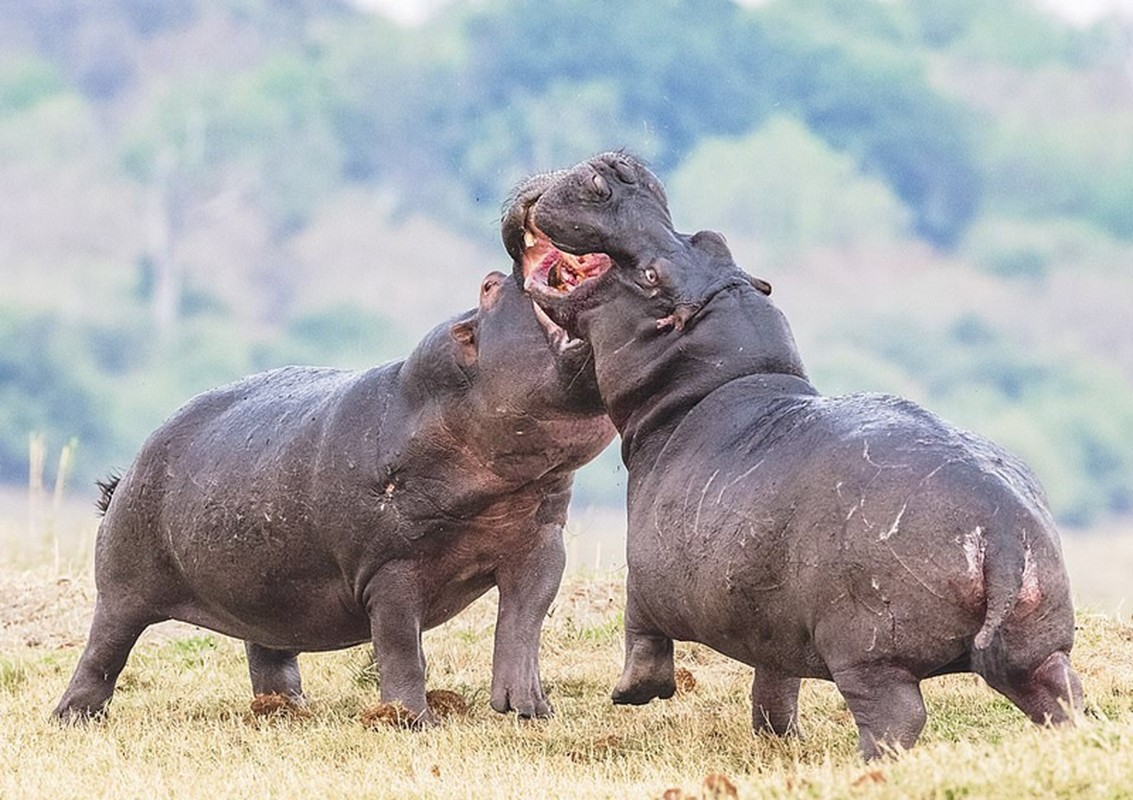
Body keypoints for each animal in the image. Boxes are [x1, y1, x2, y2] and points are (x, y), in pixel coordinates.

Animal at [53, 269, 616, 725]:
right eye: (490, 285)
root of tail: (129, 468)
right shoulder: (390, 570)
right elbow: (400, 647)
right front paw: (413, 721)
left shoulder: (541, 543)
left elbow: (524, 622)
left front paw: (531, 709)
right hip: (124, 587)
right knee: (102, 652)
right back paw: (73, 717)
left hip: (266, 590)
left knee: (269, 654)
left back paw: (285, 711)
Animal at [500, 152, 1083, 756]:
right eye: (712, 238)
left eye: (652, 275)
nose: (613, 170)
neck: (710, 377)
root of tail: (1003, 533)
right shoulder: (772, 623)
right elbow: (776, 681)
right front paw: (776, 735)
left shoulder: (645, 573)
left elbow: (640, 631)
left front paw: (631, 694)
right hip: (1037, 643)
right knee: (1058, 693)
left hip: (870, 655)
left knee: (898, 717)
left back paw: (865, 762)